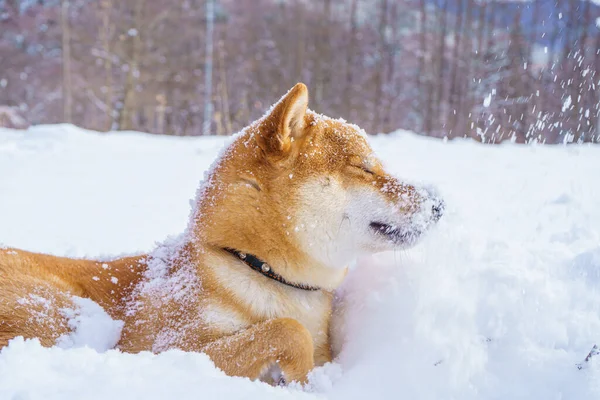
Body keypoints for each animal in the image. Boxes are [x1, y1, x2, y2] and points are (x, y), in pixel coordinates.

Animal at [0, 83, 440, 384]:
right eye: (365, 168)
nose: (439, 205)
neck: (252, 266)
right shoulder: (167, 348)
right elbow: (288, 330)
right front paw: (300, 381)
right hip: (56, 312)